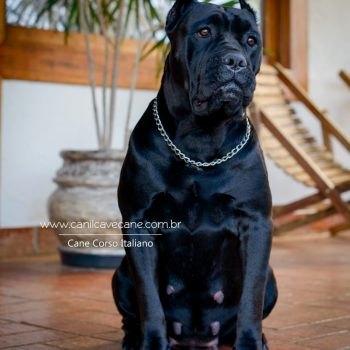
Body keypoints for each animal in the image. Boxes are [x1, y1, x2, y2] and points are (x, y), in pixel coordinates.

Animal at [113, 0, 278, 348]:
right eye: (204, 32)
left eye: (252, 41)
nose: (235, 61)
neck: (200, 140)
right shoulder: (138, 222)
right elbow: (149, 299)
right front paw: (153, 342)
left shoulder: (256, 222)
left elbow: (251, 298)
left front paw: (250, 342)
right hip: (120, 273)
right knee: (131, 314)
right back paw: (133, 338)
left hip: (272, 277)